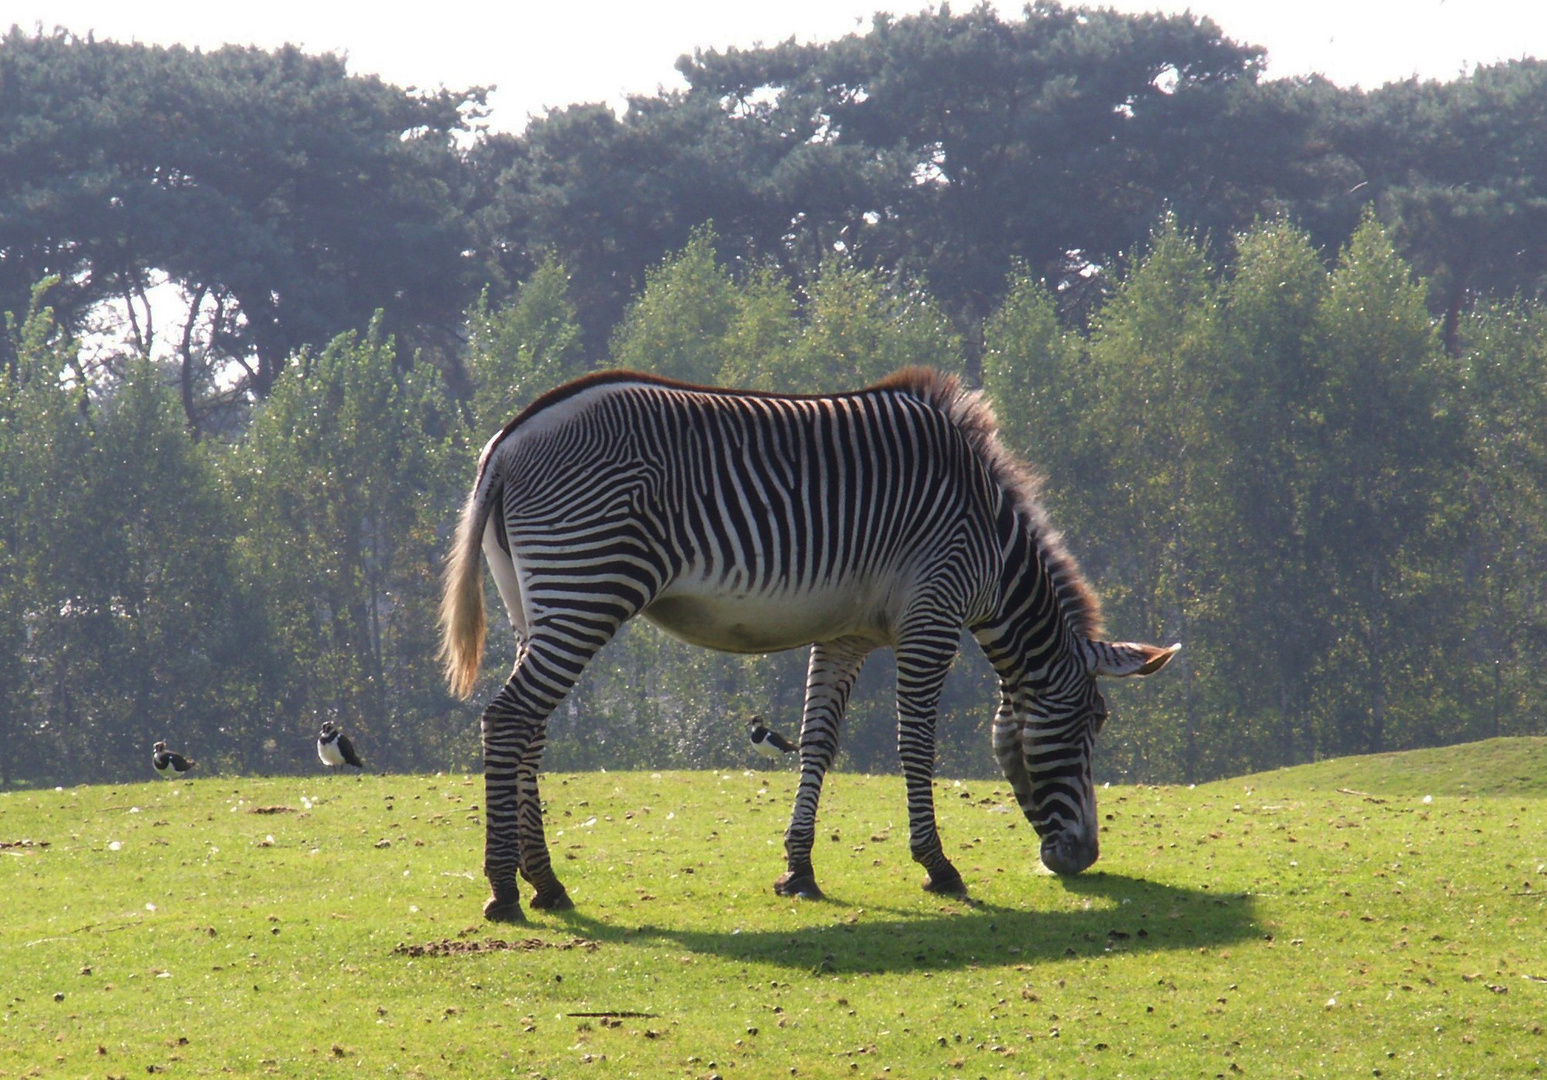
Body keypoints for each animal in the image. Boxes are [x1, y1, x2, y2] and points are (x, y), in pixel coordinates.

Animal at [436, 368, 1169, 915]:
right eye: (1094, 722)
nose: (1082, 859)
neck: (988, 535)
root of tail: (508, 438)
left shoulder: (844, 635)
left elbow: (817, 744)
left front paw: (799, 870)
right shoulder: (931, 616)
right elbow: (915, 746)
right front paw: (938, 867)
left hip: (534, 601)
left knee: (530, 728)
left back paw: (546, 884)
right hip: (586, 587)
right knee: (508, 719)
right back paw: (505, 890)